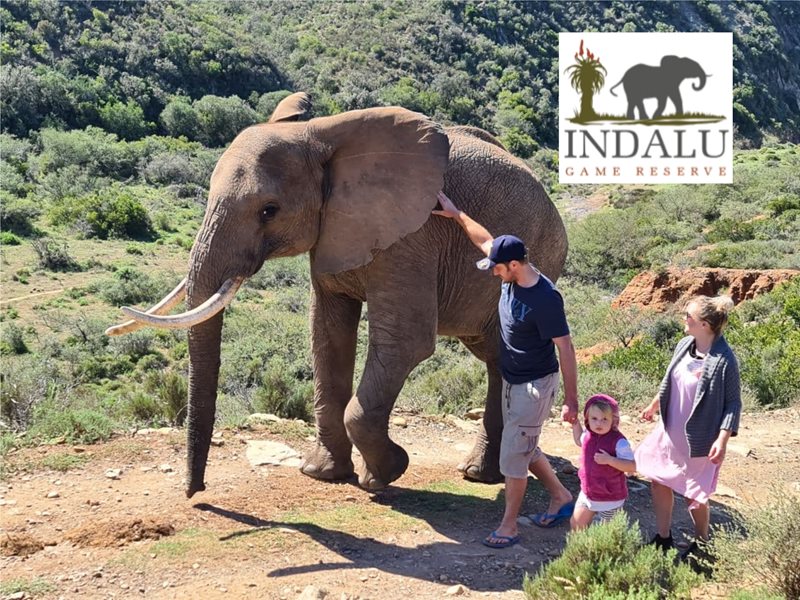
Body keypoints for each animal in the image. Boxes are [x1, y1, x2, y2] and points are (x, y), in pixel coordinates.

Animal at [107, 92, 568, 498]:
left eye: (269, 210)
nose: (195, 492)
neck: (321, 137)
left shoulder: (413, 236)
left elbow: (404, 343)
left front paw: (387, 472)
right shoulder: (333, 232)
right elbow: (327, 336)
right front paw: (323, 474)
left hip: (541, 253)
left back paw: (481, 474)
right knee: (496, 356)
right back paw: (481, 472)